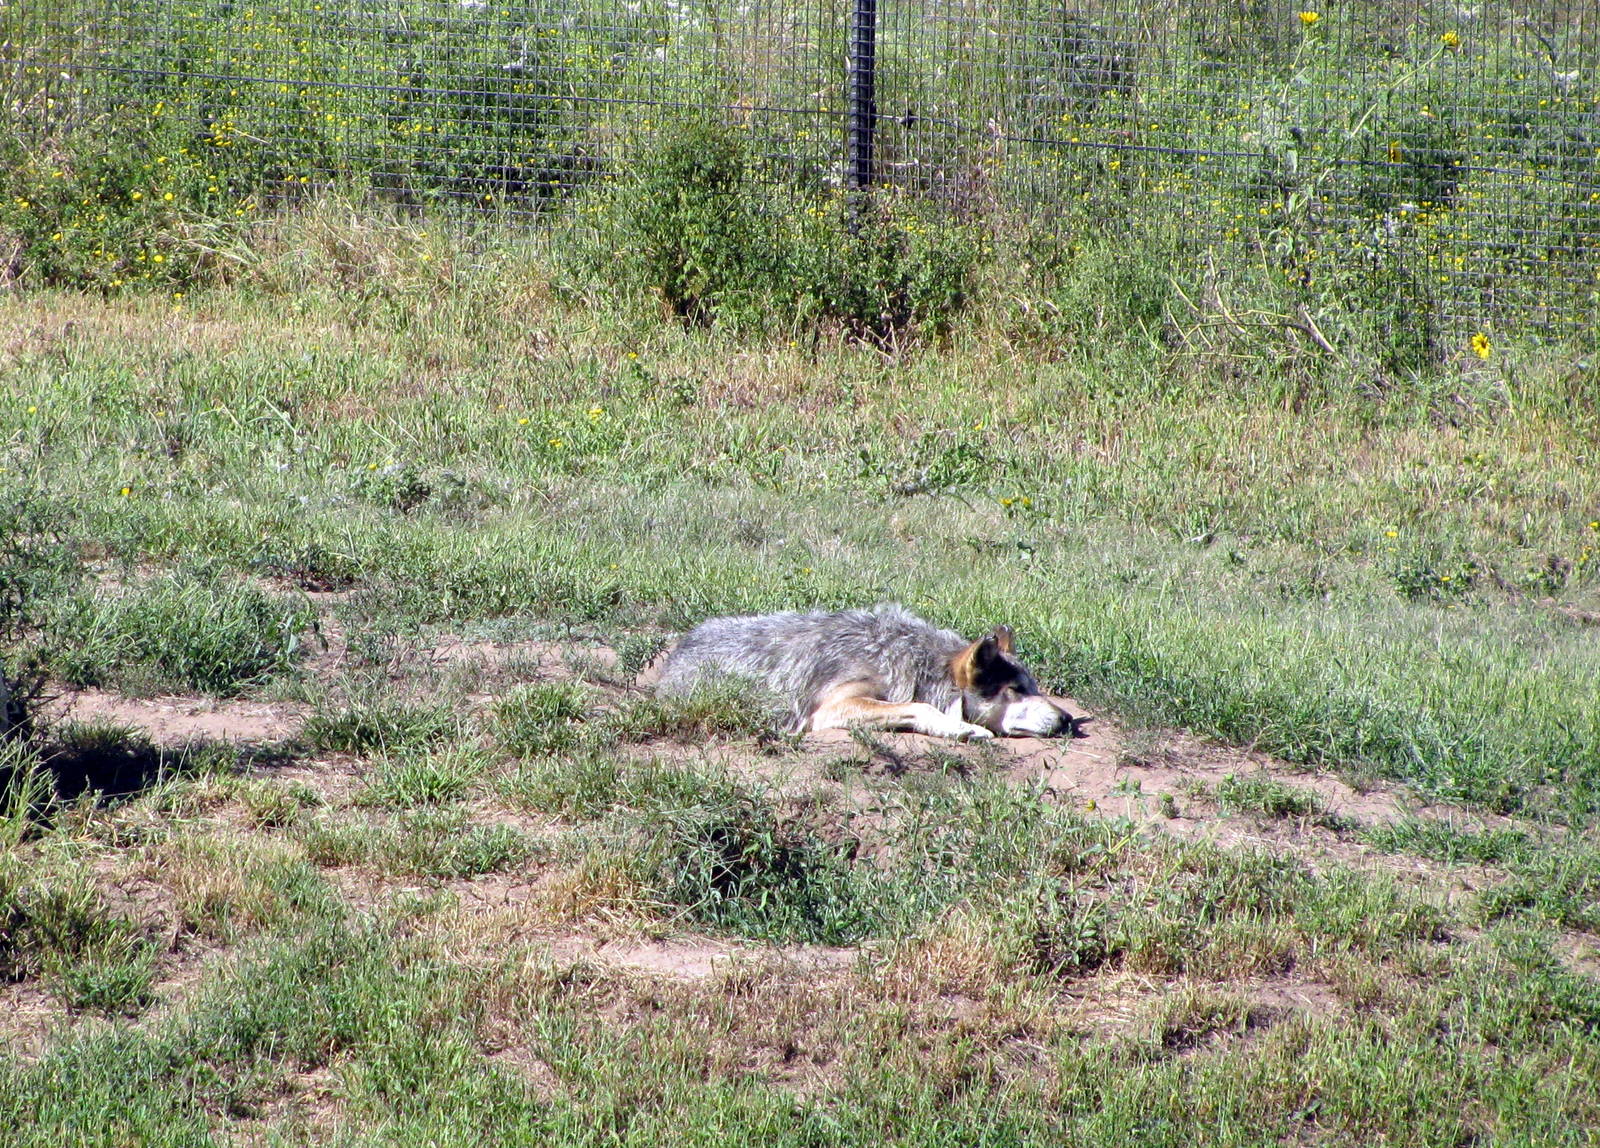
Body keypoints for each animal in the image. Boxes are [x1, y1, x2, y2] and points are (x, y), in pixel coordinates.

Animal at [655, 604, 1073, 741]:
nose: (1068, 719)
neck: (915, 663)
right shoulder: (830, 709)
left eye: (1034, 687)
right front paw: (962, 728)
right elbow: (919, 707)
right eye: (1016, 690)